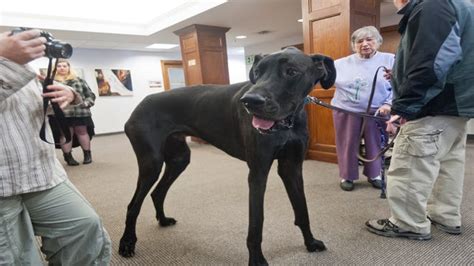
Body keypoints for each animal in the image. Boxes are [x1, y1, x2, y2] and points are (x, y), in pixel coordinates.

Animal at [120, 47, 336, 264]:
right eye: (257, 72)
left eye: (291, 72)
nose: (249, 101)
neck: (286, 124)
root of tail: (140, 104)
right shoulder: (257, 173)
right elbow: (256, 223)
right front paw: (257, 260)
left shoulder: (291, 167)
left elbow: (302, 209)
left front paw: (311, 242)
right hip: (151, 163)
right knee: (133, 205)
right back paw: (127, 243)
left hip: (179, 159)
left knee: (157, 192)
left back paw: (163, 220)